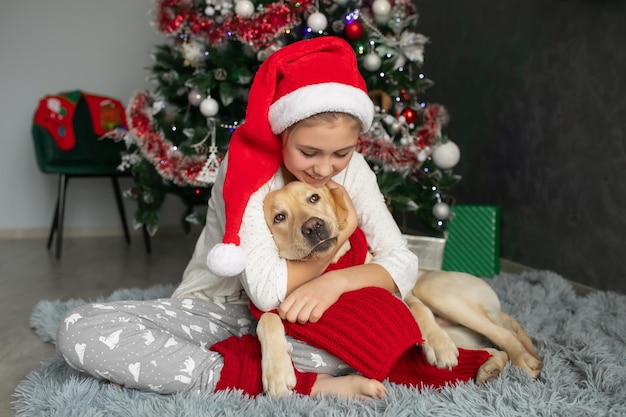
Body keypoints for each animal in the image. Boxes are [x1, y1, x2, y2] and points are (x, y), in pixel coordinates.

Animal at [258, 180, 540, 394]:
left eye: (314, 197)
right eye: (279, 217)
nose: (313, 227)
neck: (330, 266)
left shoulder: (404, 294)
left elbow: (419, 312)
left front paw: (438, 344)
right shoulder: (269, 308)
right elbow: (268, 321)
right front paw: (277, 371)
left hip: (437, 293)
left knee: (504, 335)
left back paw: (523, 360)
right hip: (464, 336)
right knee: (492, 349)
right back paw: (489, 368)